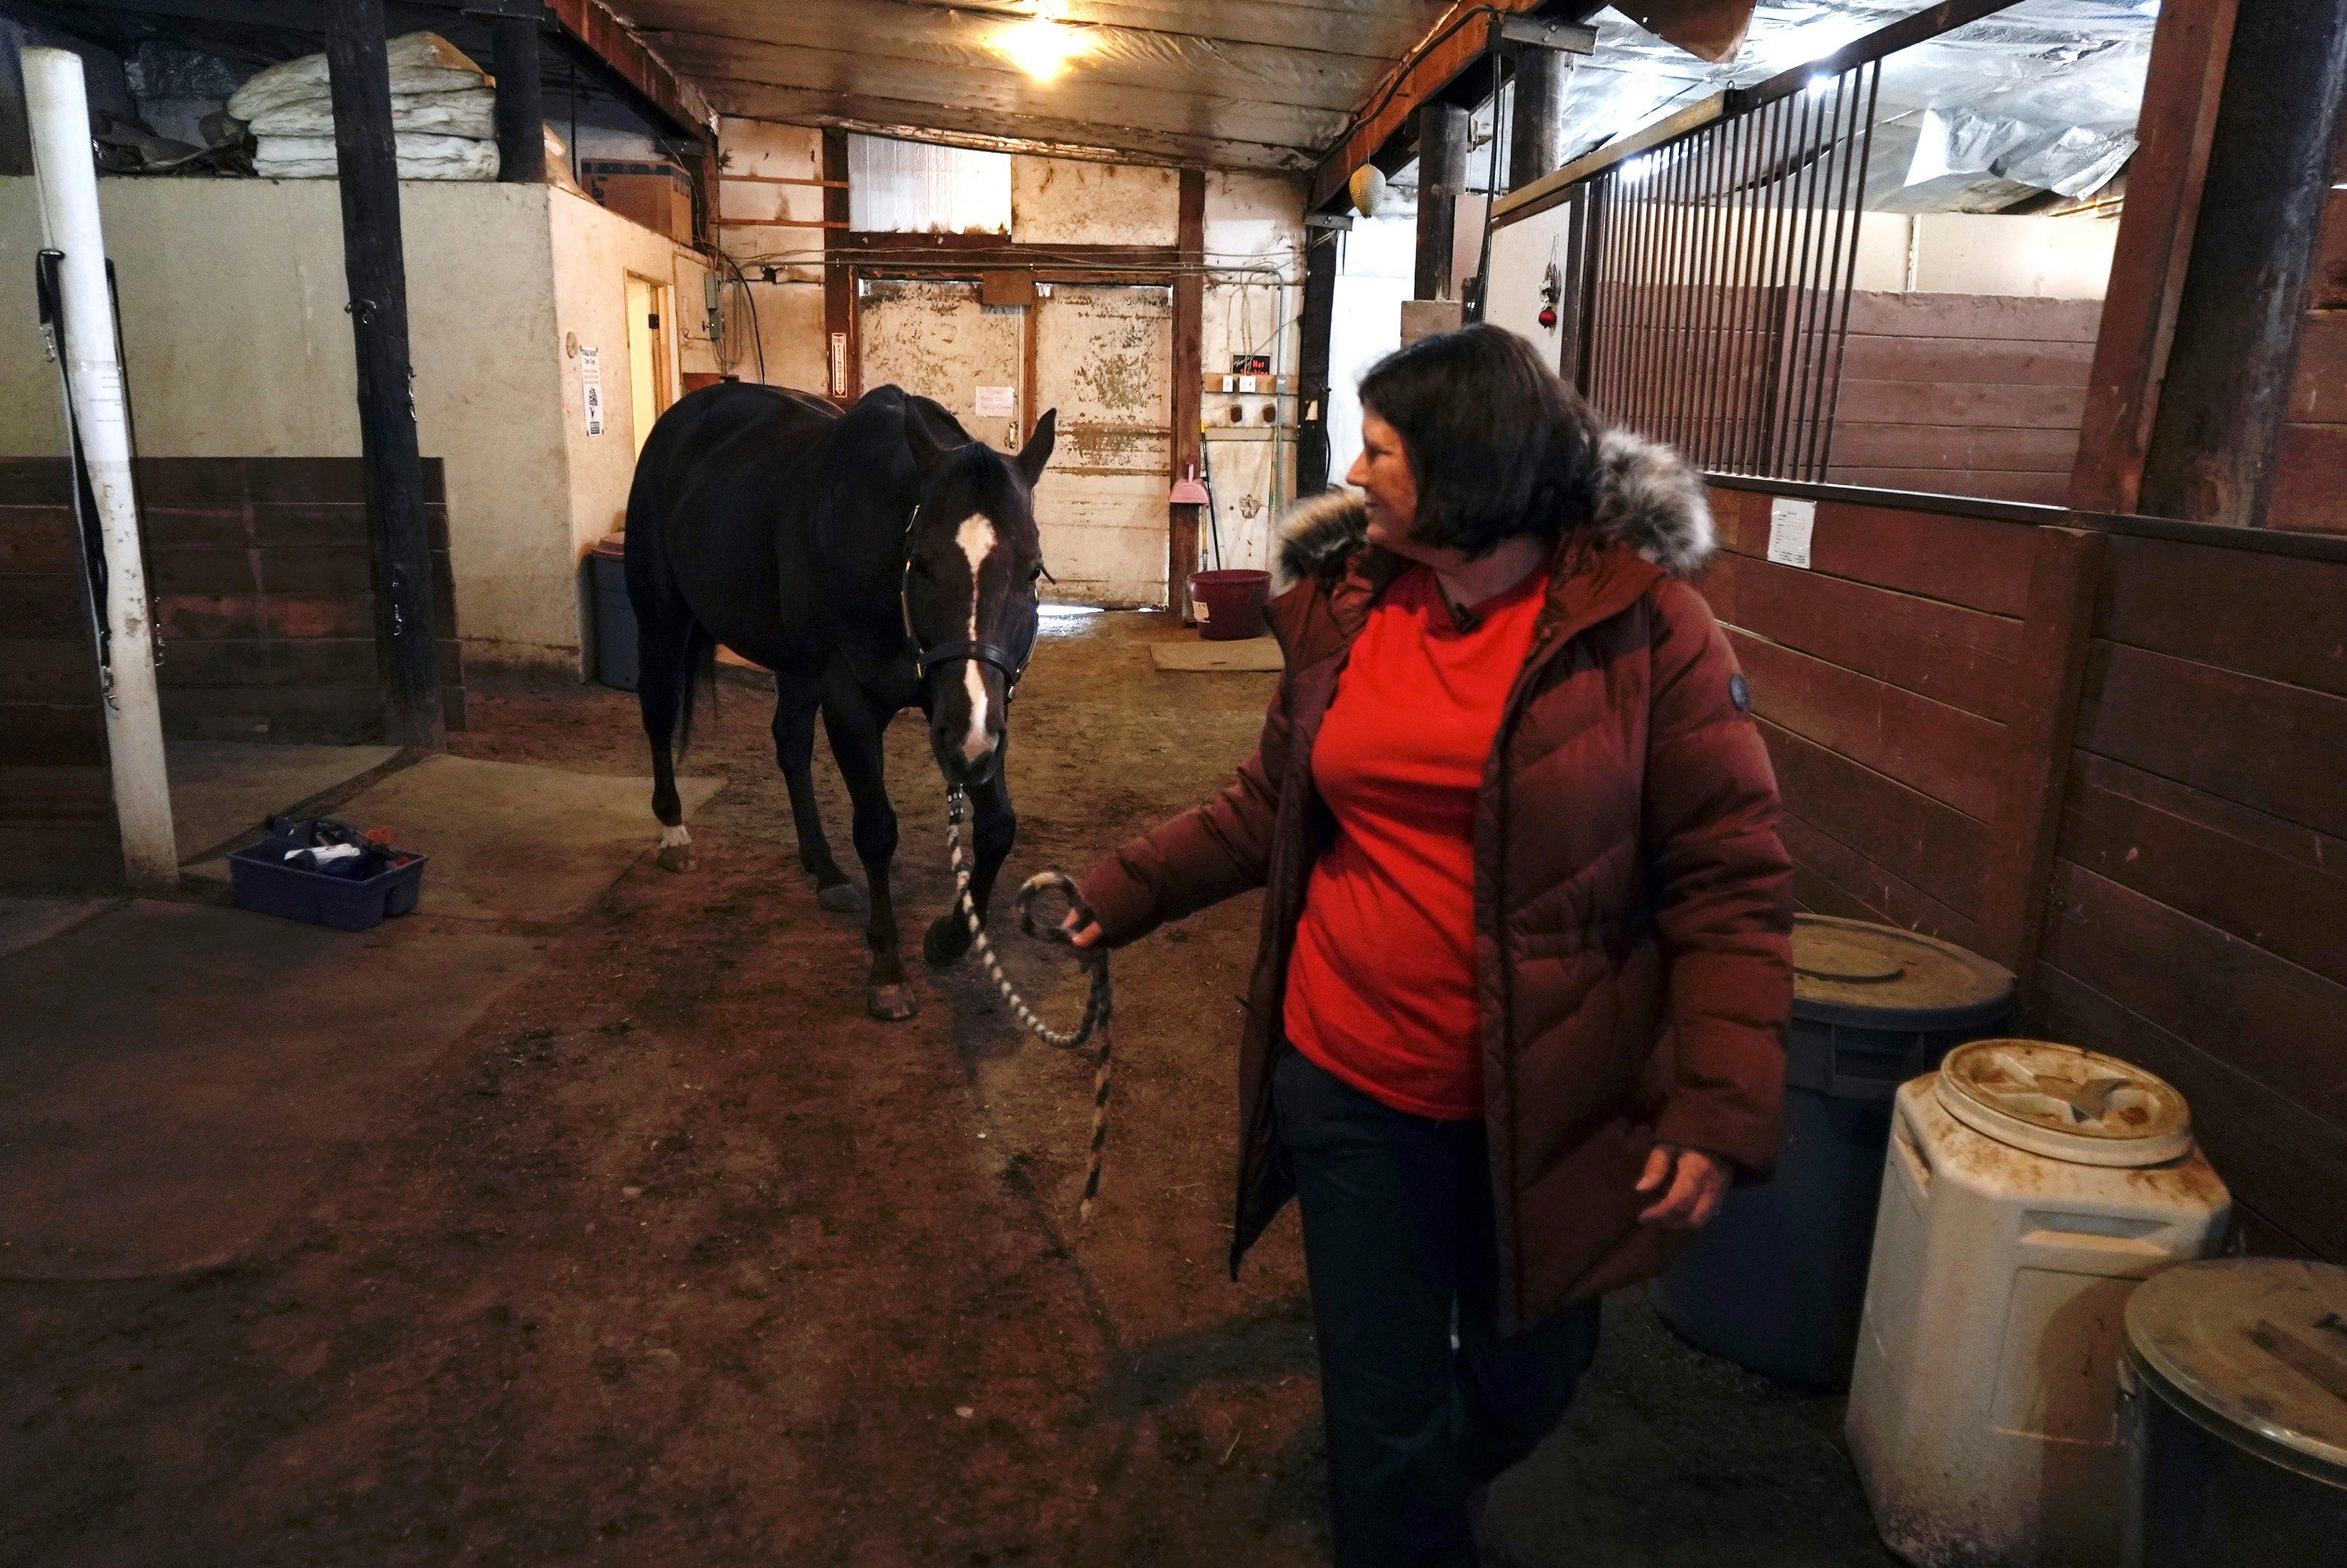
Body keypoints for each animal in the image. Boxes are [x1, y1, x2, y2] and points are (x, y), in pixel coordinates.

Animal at [629, 377, 1061, 1018]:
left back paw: (825, 868)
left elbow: (998, 827)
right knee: (658, 714)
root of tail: (684, 417)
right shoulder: (852, 702)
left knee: (789, 744)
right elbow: (877, 829)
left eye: (1031, 570)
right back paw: (673, 831)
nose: (967, 744)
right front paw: (887, 968)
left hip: (797, 665)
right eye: (921, 562)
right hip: (661, 619)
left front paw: (949, 937)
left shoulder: (976, 712)